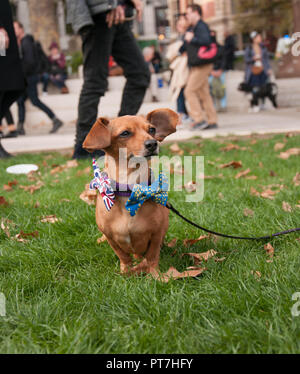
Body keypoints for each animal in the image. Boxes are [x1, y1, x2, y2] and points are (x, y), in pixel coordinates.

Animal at [82, 108, 178, 274]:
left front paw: (155, 274)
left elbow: (152, 257)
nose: (152, 143)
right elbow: (123, 256)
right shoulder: (111, 238)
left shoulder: (156, 234)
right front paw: (125, 272)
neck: (130, 190)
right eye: (125, 133)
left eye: (152, 130)